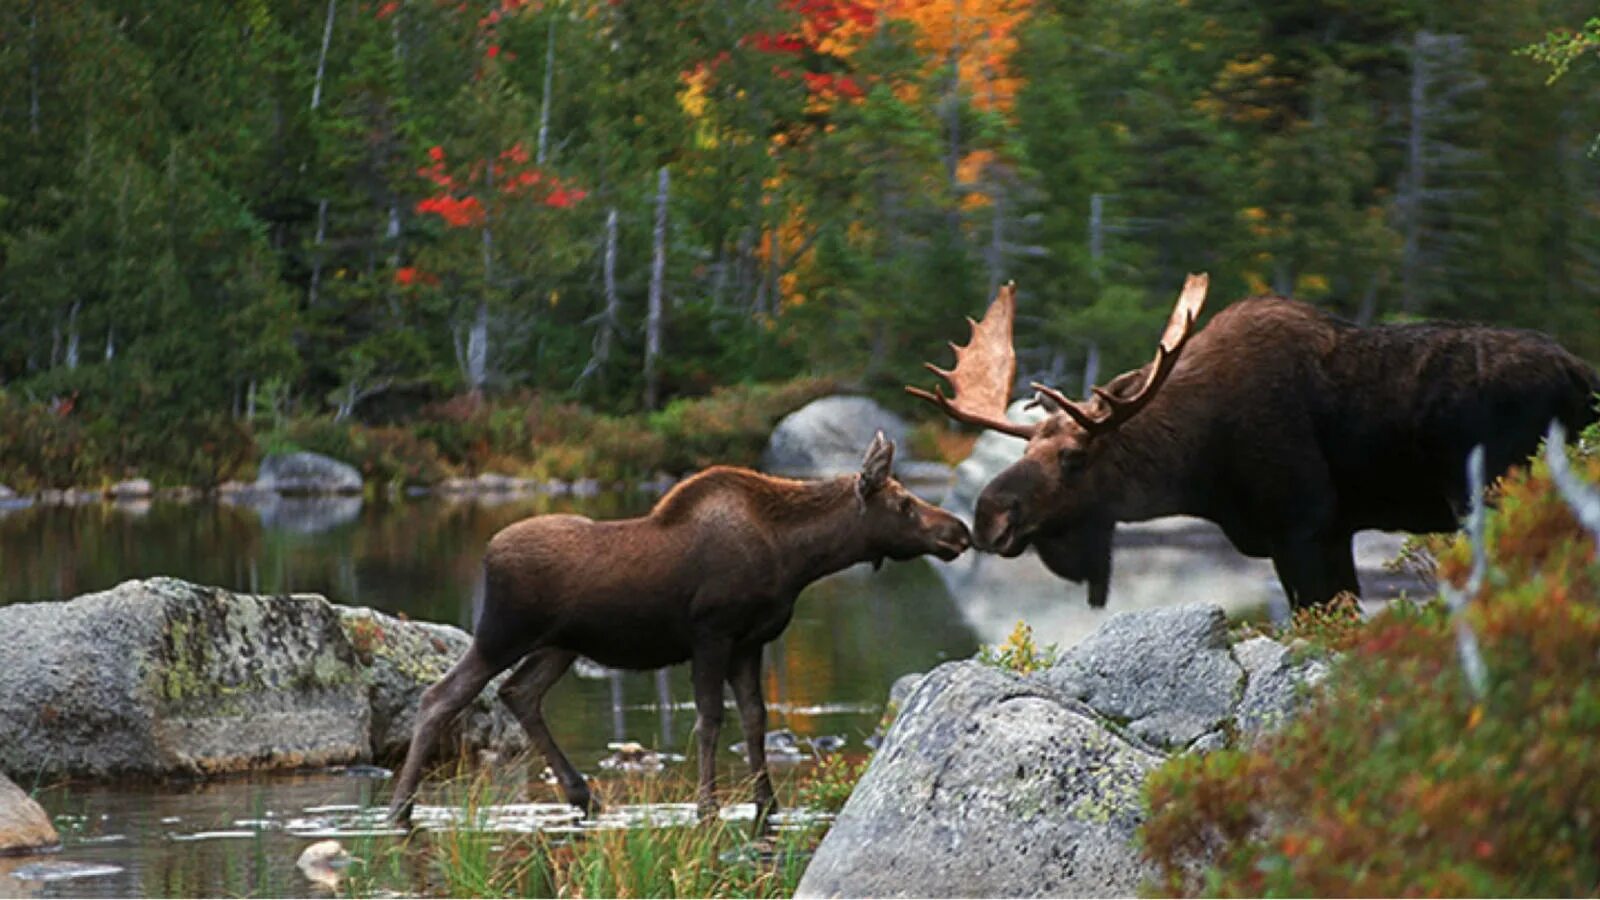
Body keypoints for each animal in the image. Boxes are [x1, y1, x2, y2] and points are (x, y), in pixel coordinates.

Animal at [388, 432, 966, 826]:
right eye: (904, 503)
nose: (958, 531)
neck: (797, 558)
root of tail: (487, 554)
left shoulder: (750, 643)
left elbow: (754, 718)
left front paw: (767, 801)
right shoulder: (711, 635)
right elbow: (710, 720)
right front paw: (707, 805)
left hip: (560, 645)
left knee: (519, 692)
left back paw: (583, 794)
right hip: (502, 632)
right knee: (441, 696)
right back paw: (400, 807)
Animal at [915, 275, 1600, 608]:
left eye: (1074, 457)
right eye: (1024, 449)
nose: (989, 514)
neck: (1201, 469)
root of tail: (1582, 376)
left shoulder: (1304, 527)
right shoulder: (1330, 532)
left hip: (1504, 490)